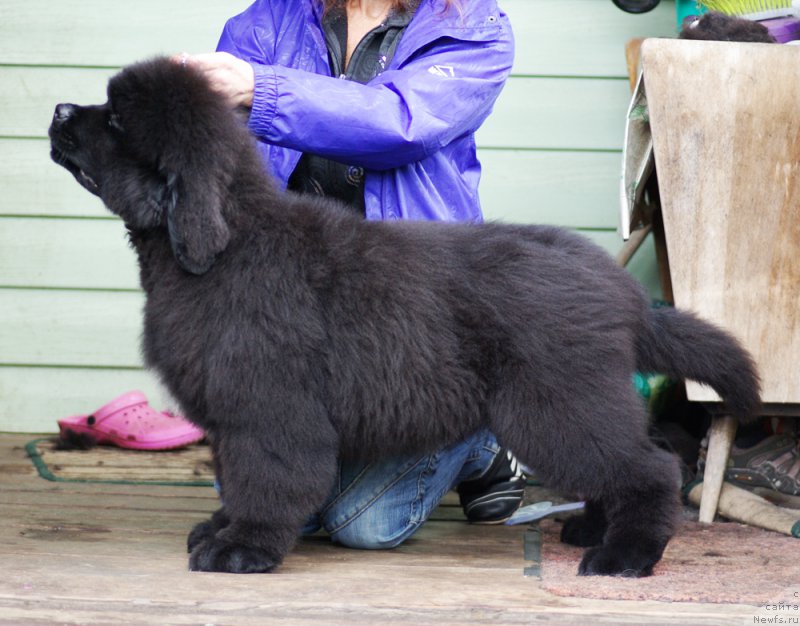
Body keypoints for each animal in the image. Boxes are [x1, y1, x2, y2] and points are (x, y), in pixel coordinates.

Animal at [47, 58, 760, 576]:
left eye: (115, 120)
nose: (58, 110)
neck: (222, 246)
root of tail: (622, 290)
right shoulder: (230, 412)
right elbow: (234, 477)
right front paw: (220, 531)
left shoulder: (268, 409)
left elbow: (264, 481)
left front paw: (241, 549)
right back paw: (592, 527)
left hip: (556, 405)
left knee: (650, 467)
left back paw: (623, 556)